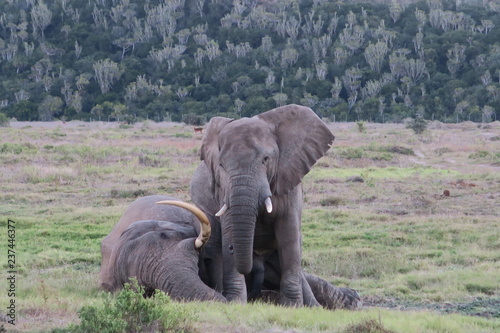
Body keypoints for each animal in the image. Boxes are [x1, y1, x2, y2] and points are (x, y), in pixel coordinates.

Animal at [190, 104, 360, 306]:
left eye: (265, 159)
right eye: (221, 164)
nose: (231, 249)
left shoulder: (289, 178)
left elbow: (289, 235)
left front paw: (293, 306)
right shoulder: (223, 189)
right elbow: (229, 228)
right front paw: (235, 302)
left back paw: (318, 305)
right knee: (215, 250)